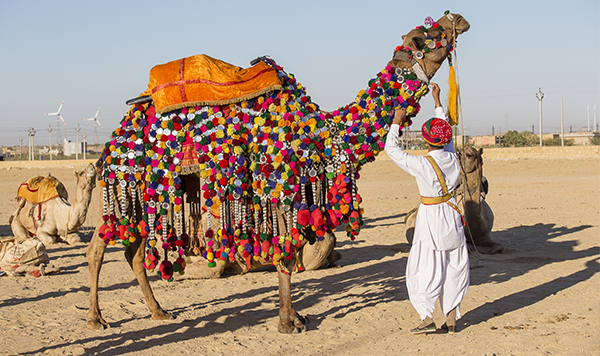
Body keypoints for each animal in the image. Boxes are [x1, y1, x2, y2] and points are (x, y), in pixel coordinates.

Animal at [85, 11, 468, 334]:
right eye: (427, 34)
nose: (456, 17)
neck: (323, 132)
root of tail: (121, 129)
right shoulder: (281, 182)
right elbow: (286, 252)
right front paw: (289, 322)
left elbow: (291, 250)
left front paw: (296, 316)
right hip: (127, 176)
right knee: (99, 247)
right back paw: (96, 319)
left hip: (148, 189)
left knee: (133, 253)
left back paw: (158, 312)